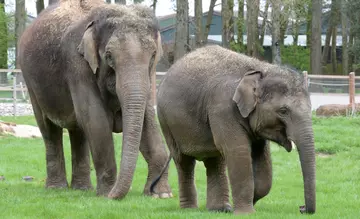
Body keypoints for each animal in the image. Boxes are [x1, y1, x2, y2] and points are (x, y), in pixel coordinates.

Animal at [17, 0, 172, 200]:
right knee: (49, 128)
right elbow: (97, 121)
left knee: (78, 130)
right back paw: (56, 188)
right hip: (31, 82)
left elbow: (147, 119)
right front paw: (107, 194)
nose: (115, 194)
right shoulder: (76, 63)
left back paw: (81, 189)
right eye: (109, 56)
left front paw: (161, 194)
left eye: (153, 55)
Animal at [155, 45, 316, 215]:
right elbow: (238, 151)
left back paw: (220, 209)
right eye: (283, 111)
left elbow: (262, 160)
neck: (260, 68)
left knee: (215, 160)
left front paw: (250, 201)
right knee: (184, 161)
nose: (301, 208)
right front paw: (246, 213)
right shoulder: (223, 108)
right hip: (166, 123)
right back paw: (190, 209)